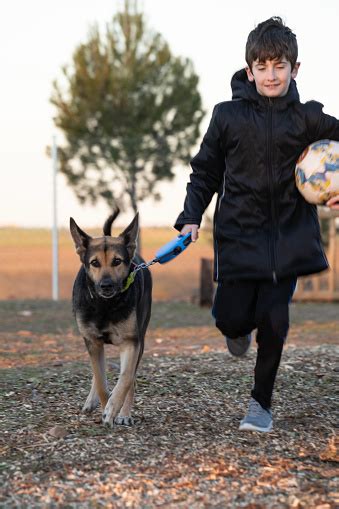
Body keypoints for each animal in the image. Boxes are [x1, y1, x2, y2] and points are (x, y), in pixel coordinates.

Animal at [69, 208, 152, 426]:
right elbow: (100, 380)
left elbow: (126, 379)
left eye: (117, 261)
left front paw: (115, 409)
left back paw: (124, 413)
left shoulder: (132, 342)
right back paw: (92, 401)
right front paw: (104, 404)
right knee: (99, 372)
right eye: (94, 263)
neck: (105, 306)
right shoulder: (92, 341)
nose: (106, 285)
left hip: (141, 336)